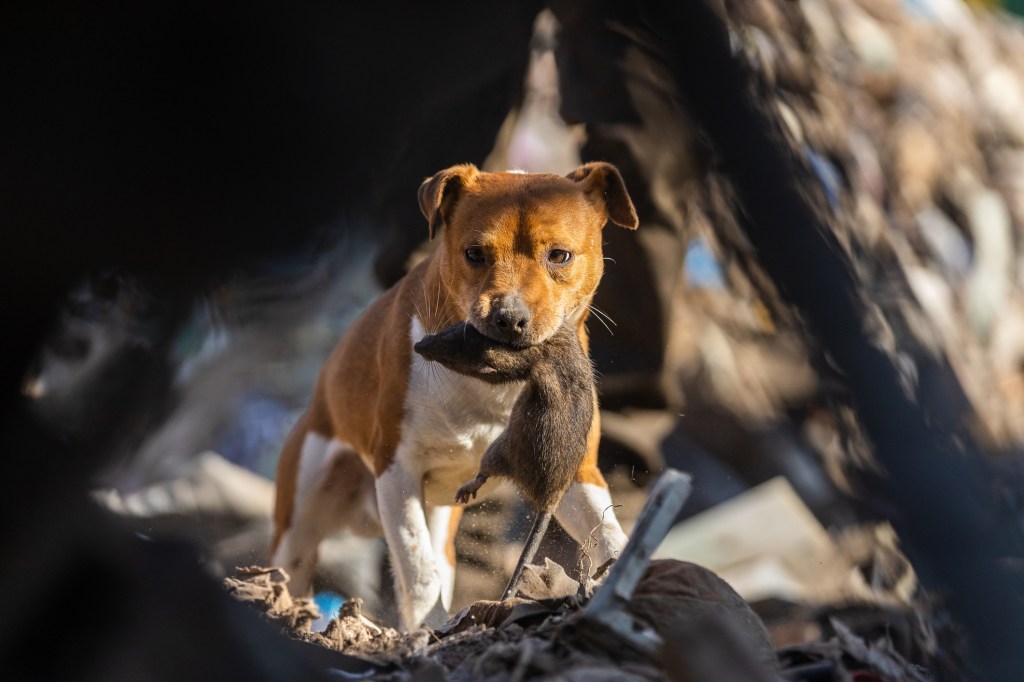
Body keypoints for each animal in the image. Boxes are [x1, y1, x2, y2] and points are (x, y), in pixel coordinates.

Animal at [272, 160, 638, 626]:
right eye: (475, 253)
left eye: (559, 255)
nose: (509, 317)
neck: (493, 382)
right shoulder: (397, 469)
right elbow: (418, 572)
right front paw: (422, 630)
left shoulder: (574, 471)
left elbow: (608, 534)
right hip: (302, 514)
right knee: (291, 568)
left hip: (438, 516)